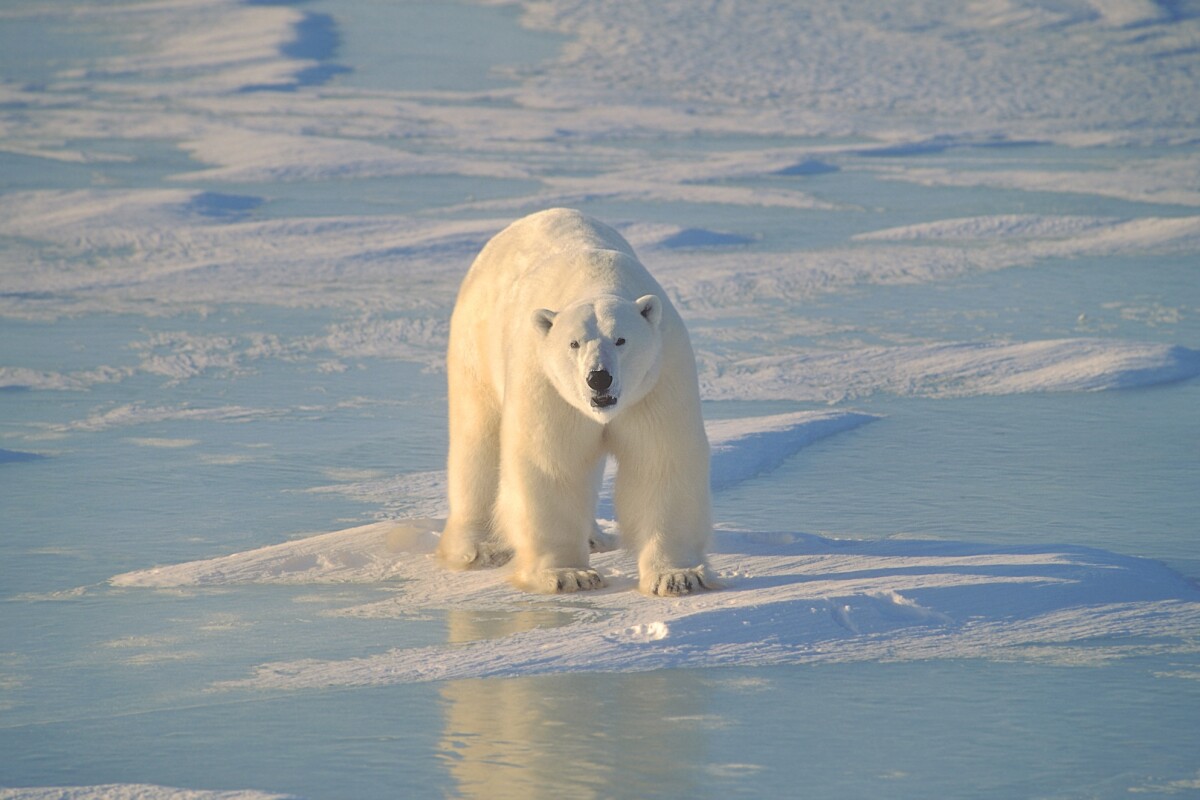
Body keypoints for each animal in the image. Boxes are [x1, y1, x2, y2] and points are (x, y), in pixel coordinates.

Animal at [436, 208, 719, 596]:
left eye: (621, 339)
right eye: (574, 343)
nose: (599, 378)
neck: (594, 279)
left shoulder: (658, 379)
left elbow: (660, 460)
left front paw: (677, 576)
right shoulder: (546, 381)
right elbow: (551, 462)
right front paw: (569, 574)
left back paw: (595, 537)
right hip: (475, 344)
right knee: (477, 438)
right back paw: (480, 547)